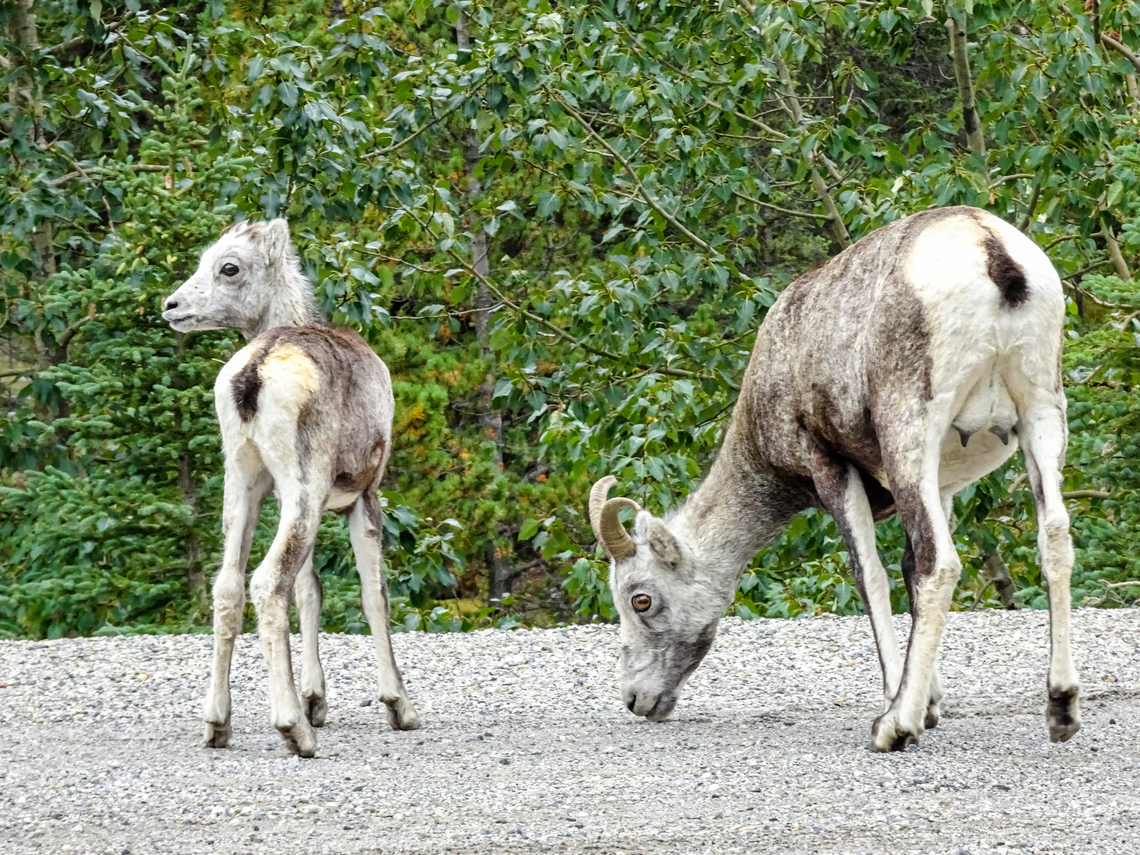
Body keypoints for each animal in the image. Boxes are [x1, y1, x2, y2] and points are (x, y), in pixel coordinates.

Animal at [162, 219, 419, 757]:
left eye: (228, 265)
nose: (171, 306)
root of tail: (253, 377)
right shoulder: (363, 495)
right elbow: (374, 593)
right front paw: (399, 707)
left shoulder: (291, 500)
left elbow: (310, 591)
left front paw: (316, 701)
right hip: (304, 484)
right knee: (265, 582)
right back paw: (293, 730)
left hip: (243, 482)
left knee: (229, 587)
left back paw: (218, 724)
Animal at [589, 206, 1080, 752]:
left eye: (642, 599)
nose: (636, 700)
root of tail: (991, 250)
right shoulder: (944, 484)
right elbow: (905, 569)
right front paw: (931, 704)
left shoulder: (829, 468)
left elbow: (873, 576)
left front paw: (903, 709)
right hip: (1041, 413)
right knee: (1054, 538)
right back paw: (1061, 708)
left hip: (911, 430)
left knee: (941, 564)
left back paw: (894, 727)